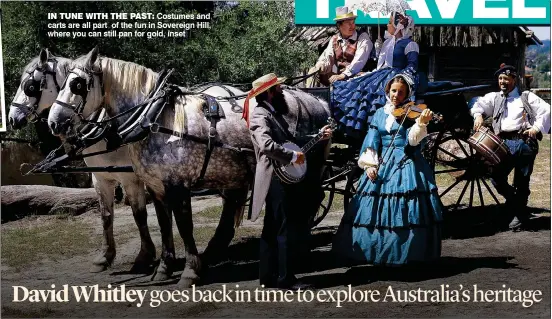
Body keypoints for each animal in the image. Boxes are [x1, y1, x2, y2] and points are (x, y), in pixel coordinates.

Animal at [47, 48, 330, 290]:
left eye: (78, 84)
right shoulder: (156, 187)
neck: (155, 117)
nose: (54, 123)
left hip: (309, 169)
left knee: (309, 200)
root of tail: (317, 100)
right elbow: (163, 225)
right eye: (61, 83)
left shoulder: (177, 186)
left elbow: (184, 226)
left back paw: (299, 250)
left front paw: (190, 272)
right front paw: (163, 268)